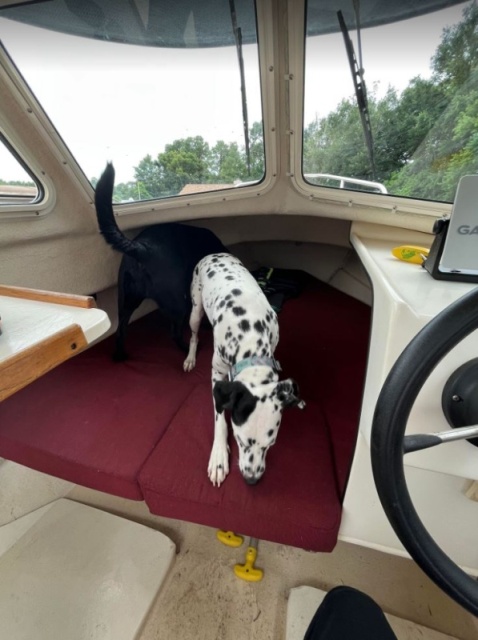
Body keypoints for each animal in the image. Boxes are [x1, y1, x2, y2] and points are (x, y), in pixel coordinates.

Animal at [95, 164, 228, 360]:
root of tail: (141, 247)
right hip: (178, 300)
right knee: (175, 333)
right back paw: (188, 349)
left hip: (126, 301)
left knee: (120, 331)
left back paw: (121, 356)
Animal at [183, 252, 306, 488]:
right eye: (240, 441)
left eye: (270, 443)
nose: (252, 479)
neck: (248, 331)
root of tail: (215, 254)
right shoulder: (217, 375)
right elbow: (219, 419)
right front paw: (219, 456)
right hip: (195, 309)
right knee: (193, 335)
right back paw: (190, 357)